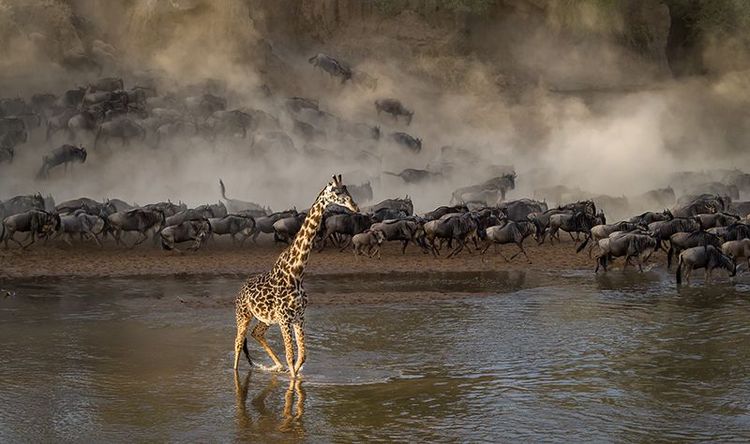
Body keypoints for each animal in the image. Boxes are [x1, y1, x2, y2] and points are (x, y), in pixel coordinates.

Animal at [233, 174, 358, 378]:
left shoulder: (299, 317)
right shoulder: (285, 318)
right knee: (238, 342)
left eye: (347, 189)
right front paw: (292, 377)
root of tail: (240, 290)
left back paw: (277, 366)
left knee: (256, 333)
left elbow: (301, 356)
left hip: (265, 319)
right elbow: (291, 356)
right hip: (243, 315)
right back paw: (236, 372)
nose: (355, 206)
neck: (297, 272)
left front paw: (294, 374)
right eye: (337, 192)